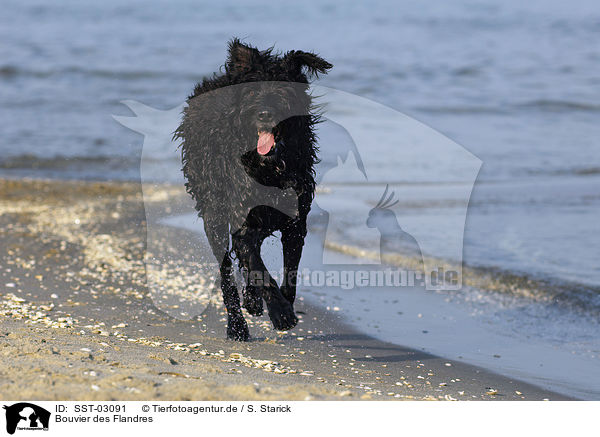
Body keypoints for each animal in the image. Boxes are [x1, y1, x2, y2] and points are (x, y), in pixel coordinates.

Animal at [173, 39, 332, 338]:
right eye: (252, 91)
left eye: (282, 89)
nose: (264, 113)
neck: (269, 167)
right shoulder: (241, 220)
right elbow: (258, 268)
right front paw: (281, 313)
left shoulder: (295, 223)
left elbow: (289, 271)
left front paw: (281, 302)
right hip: (213, 215)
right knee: (226, 271)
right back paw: (237, 325)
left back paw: (252, 300)